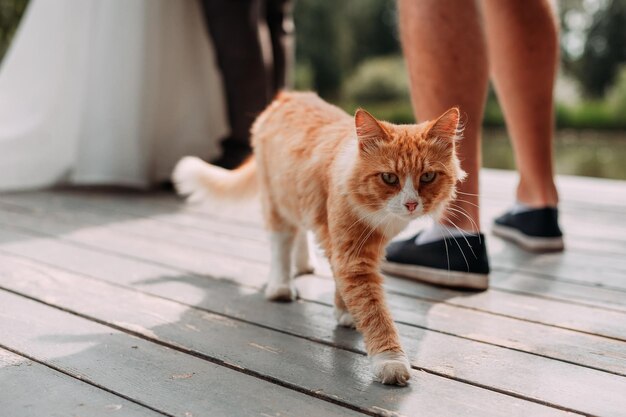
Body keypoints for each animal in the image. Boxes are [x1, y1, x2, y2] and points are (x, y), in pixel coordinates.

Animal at [171, 91, 464, 384]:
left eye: (428, 176)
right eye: (389, 178)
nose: (411, 204)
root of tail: (288, 95)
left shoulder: (347, 248)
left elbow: (344, 284)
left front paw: (345, 311)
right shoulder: (352, 255)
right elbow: (374, 311)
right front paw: (389, 360)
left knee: (300, 232)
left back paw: (304, 264)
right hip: (277, 200)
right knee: (281, 243)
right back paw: (281, 286)